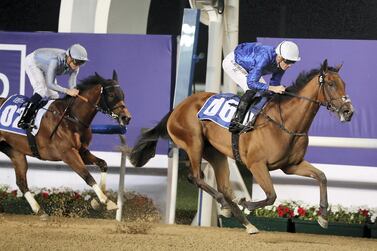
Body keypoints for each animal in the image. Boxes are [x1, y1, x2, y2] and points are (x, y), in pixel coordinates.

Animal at [0, 71, 131, 216]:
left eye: (123, 95)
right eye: (112, 94)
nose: (126, 117)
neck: (72, 118)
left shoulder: (82, 151)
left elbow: (103, 164)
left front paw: (100, 201)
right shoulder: (67, 154)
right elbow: (87, 175)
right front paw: (105, 200)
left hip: (15, 152)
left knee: (21, 182)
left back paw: (39, 210)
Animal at [129, 59, 352, 234]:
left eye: (343, 83)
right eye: (330, 84)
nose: (348, 111)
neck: (286, 122)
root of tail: (178, 107)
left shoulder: (291, 165)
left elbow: (321, 176)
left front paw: (323, 217)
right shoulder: (256, 164)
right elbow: (271, 195)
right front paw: (248, 203)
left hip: (215, 152)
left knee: (224, 186)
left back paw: (243, 220)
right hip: (194, 143)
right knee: (196, 177)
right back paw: (228, 205)